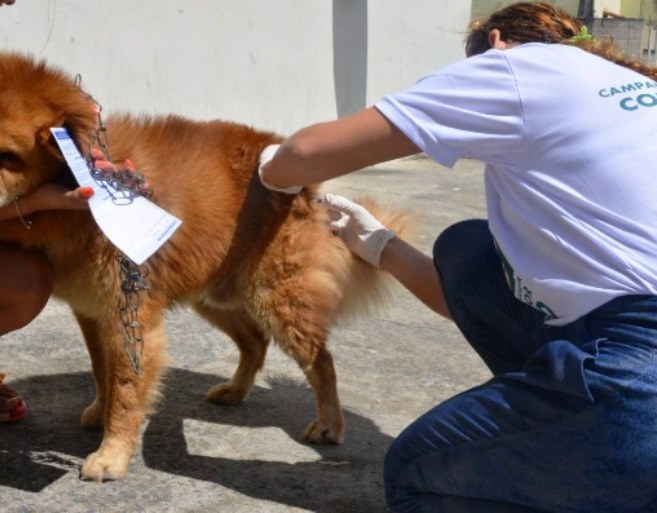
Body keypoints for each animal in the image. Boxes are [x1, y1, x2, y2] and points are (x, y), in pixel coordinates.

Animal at [0, 52, 412, 480]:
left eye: (8, 157)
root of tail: (304, 187)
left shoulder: (130, 314)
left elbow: (127, 386)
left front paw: (112, 454)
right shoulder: (93, 313)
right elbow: (102, 370)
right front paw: (101, 412)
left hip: (278, 300)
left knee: (321, 360)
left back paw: (330, 423)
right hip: (214, 296)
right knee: (255, 342)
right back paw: (235, 390)